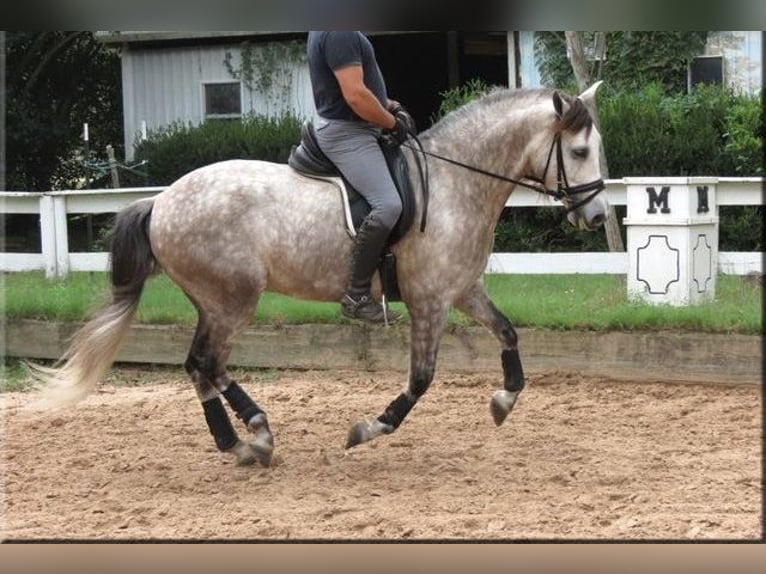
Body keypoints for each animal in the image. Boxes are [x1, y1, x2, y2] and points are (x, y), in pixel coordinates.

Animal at [31, 82, 612, 468]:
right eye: (580, 151)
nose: (598, 216)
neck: (455, 183)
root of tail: (160, 201)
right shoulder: (429, 300)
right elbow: (421, 379)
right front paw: (369, 428)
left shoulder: (464, 289)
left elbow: (509, 333)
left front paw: (502, 401)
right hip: (233, 299)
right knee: (208, 363)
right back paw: (257, 434)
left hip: (212, 301)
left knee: (199, 366)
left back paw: (237, 443)